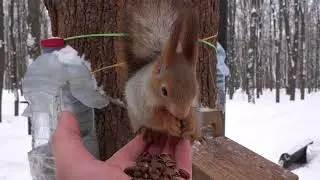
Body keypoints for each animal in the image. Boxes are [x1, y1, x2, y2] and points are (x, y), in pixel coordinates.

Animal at [122, 0, 200, 143]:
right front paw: (169, 123)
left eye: (195, 91)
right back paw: (147, 132)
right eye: (164, 91)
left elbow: (191, 111)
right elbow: (155, 118)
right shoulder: (144, 102)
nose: (181, 114)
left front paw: (189, 122)